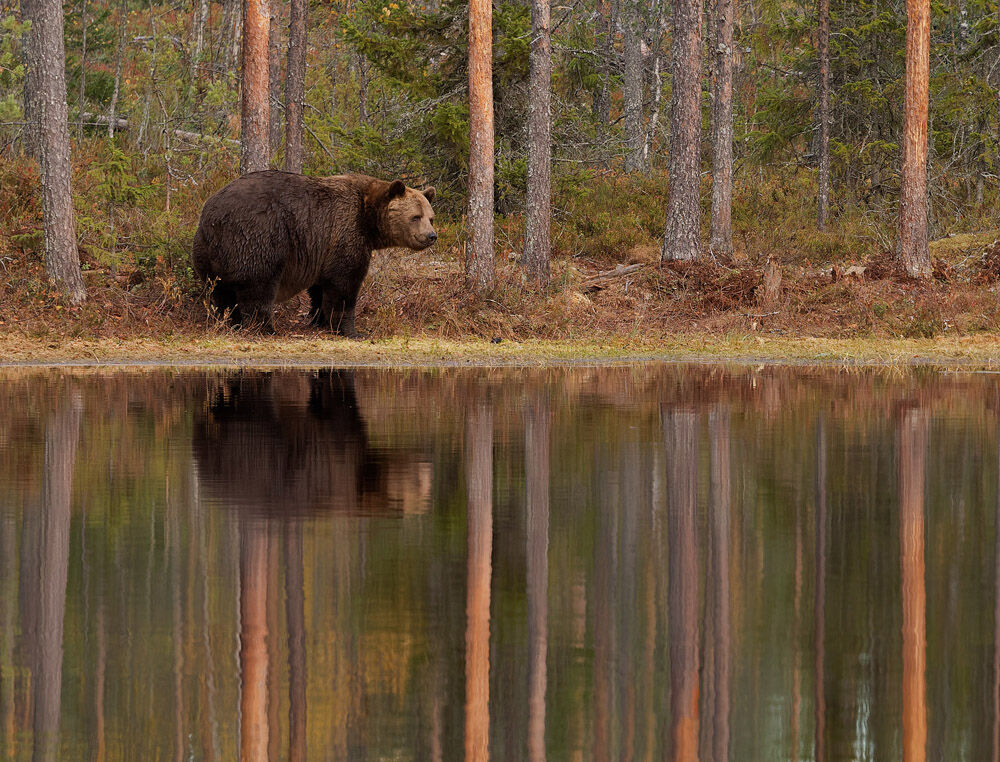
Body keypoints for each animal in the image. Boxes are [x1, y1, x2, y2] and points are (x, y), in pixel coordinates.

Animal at [192, 170, 437, 337]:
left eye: (431, 217)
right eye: (415, 217)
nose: (431, 236)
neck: (368, 218)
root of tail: (213, 214)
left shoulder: (321, 247)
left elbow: (321, 286)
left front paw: (319, 319)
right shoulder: (345, 230)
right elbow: (345, 284)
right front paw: (350, 330)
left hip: (208, 251)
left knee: (220, 292)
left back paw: (229, 322)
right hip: (257, 236)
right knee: (258, 286)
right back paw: (264, 327)